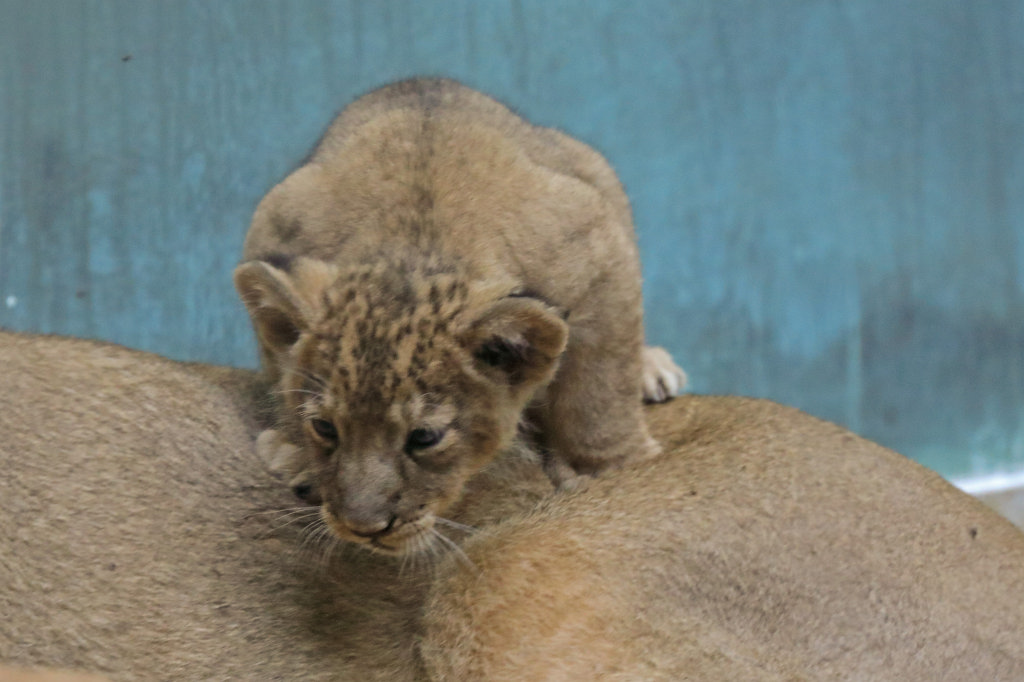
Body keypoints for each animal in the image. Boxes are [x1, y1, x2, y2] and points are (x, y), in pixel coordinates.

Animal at [233, 77, 686, 553]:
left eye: (424, 438)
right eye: (324, 427)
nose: (364, 527)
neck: (415, 245)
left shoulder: (598, 248)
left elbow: (600, 391)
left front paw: (614, 468)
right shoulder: (273, 223)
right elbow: (279, 364)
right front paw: (296, 451)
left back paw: (651, 369)